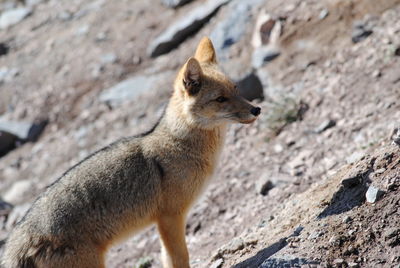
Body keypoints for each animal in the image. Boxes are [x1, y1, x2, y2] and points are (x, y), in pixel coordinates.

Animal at [2, 36, 262, 266]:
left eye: (236, 88)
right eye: (220, 99)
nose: (256, 109)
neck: (179, 144)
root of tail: (17, 240)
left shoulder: (165, 222)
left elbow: (167, 259)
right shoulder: (170, 217)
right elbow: (179, 258)